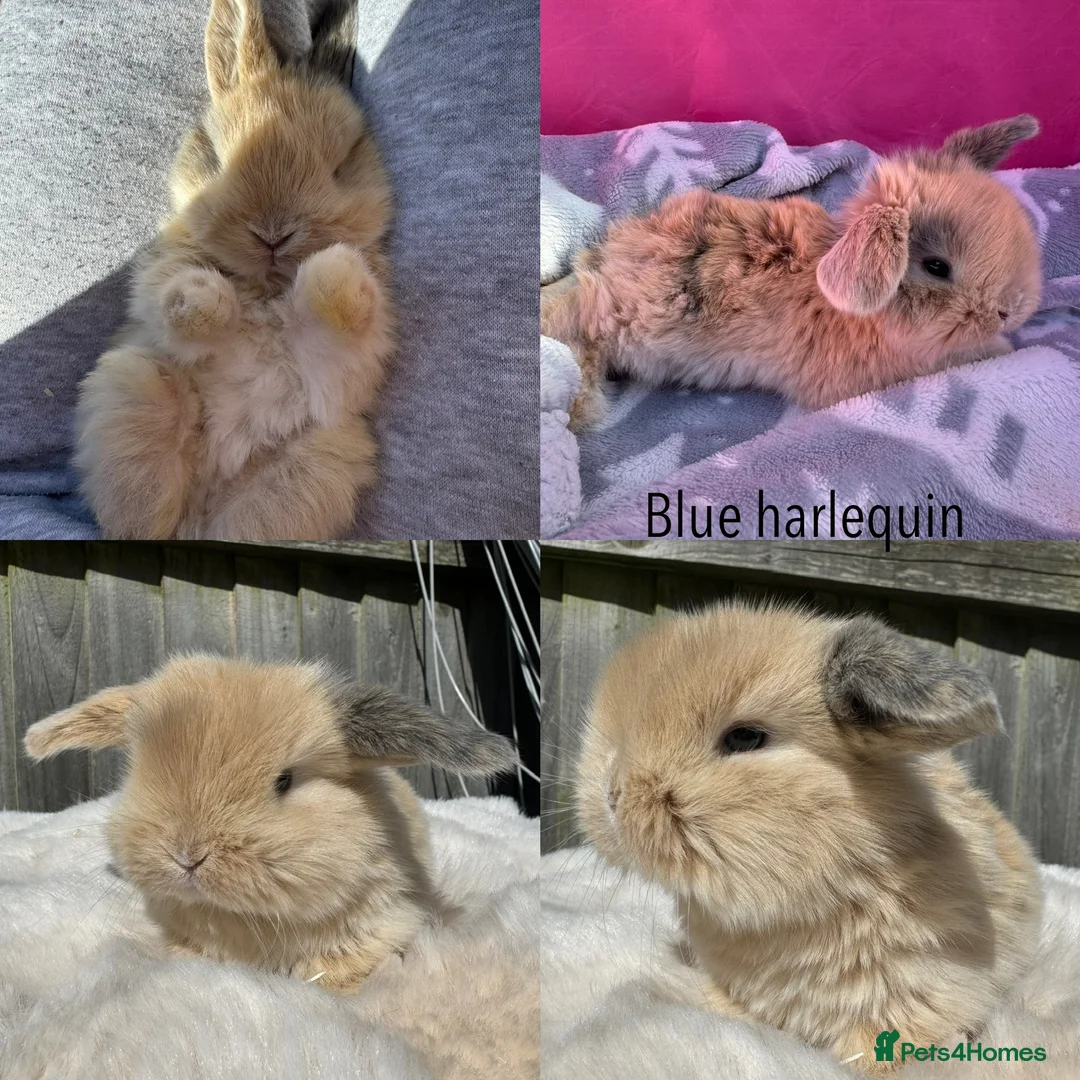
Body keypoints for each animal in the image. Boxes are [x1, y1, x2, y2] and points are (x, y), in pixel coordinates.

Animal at [75, 0, 395, 539]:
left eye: (339, 166)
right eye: (219, 160)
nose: (273, 234)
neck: (264, 288)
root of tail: (199, 517)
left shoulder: (347, 362)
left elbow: (340, 314)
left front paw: (337, 274)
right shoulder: (161, 275)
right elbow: (175, 298)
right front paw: (204, 299)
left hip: (320, 462)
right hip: (135, 382)